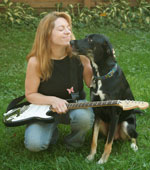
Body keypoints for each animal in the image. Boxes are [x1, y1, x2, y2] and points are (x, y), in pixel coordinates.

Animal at [70, 33, 138, 164]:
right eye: (86, 36)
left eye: (90, 39)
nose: (70, 42)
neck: (101, 75)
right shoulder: (97, 112)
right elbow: (94, 139)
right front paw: (91, 156)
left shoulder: (114, 114)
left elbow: (108, 143)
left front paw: (103, 160)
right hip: (102, 122)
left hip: (126, 124)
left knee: (133, 136)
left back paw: (134, 146)